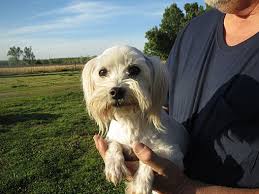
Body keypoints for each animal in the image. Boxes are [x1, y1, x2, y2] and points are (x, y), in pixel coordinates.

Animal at [82, 45, 190, 194]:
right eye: (102, 72)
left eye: (134, 70)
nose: (116, 91)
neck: (129, 121)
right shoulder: (115, 139)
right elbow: (114, 144)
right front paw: (113, 165)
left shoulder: (174, 154)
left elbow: (149, 157)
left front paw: (141, 182)